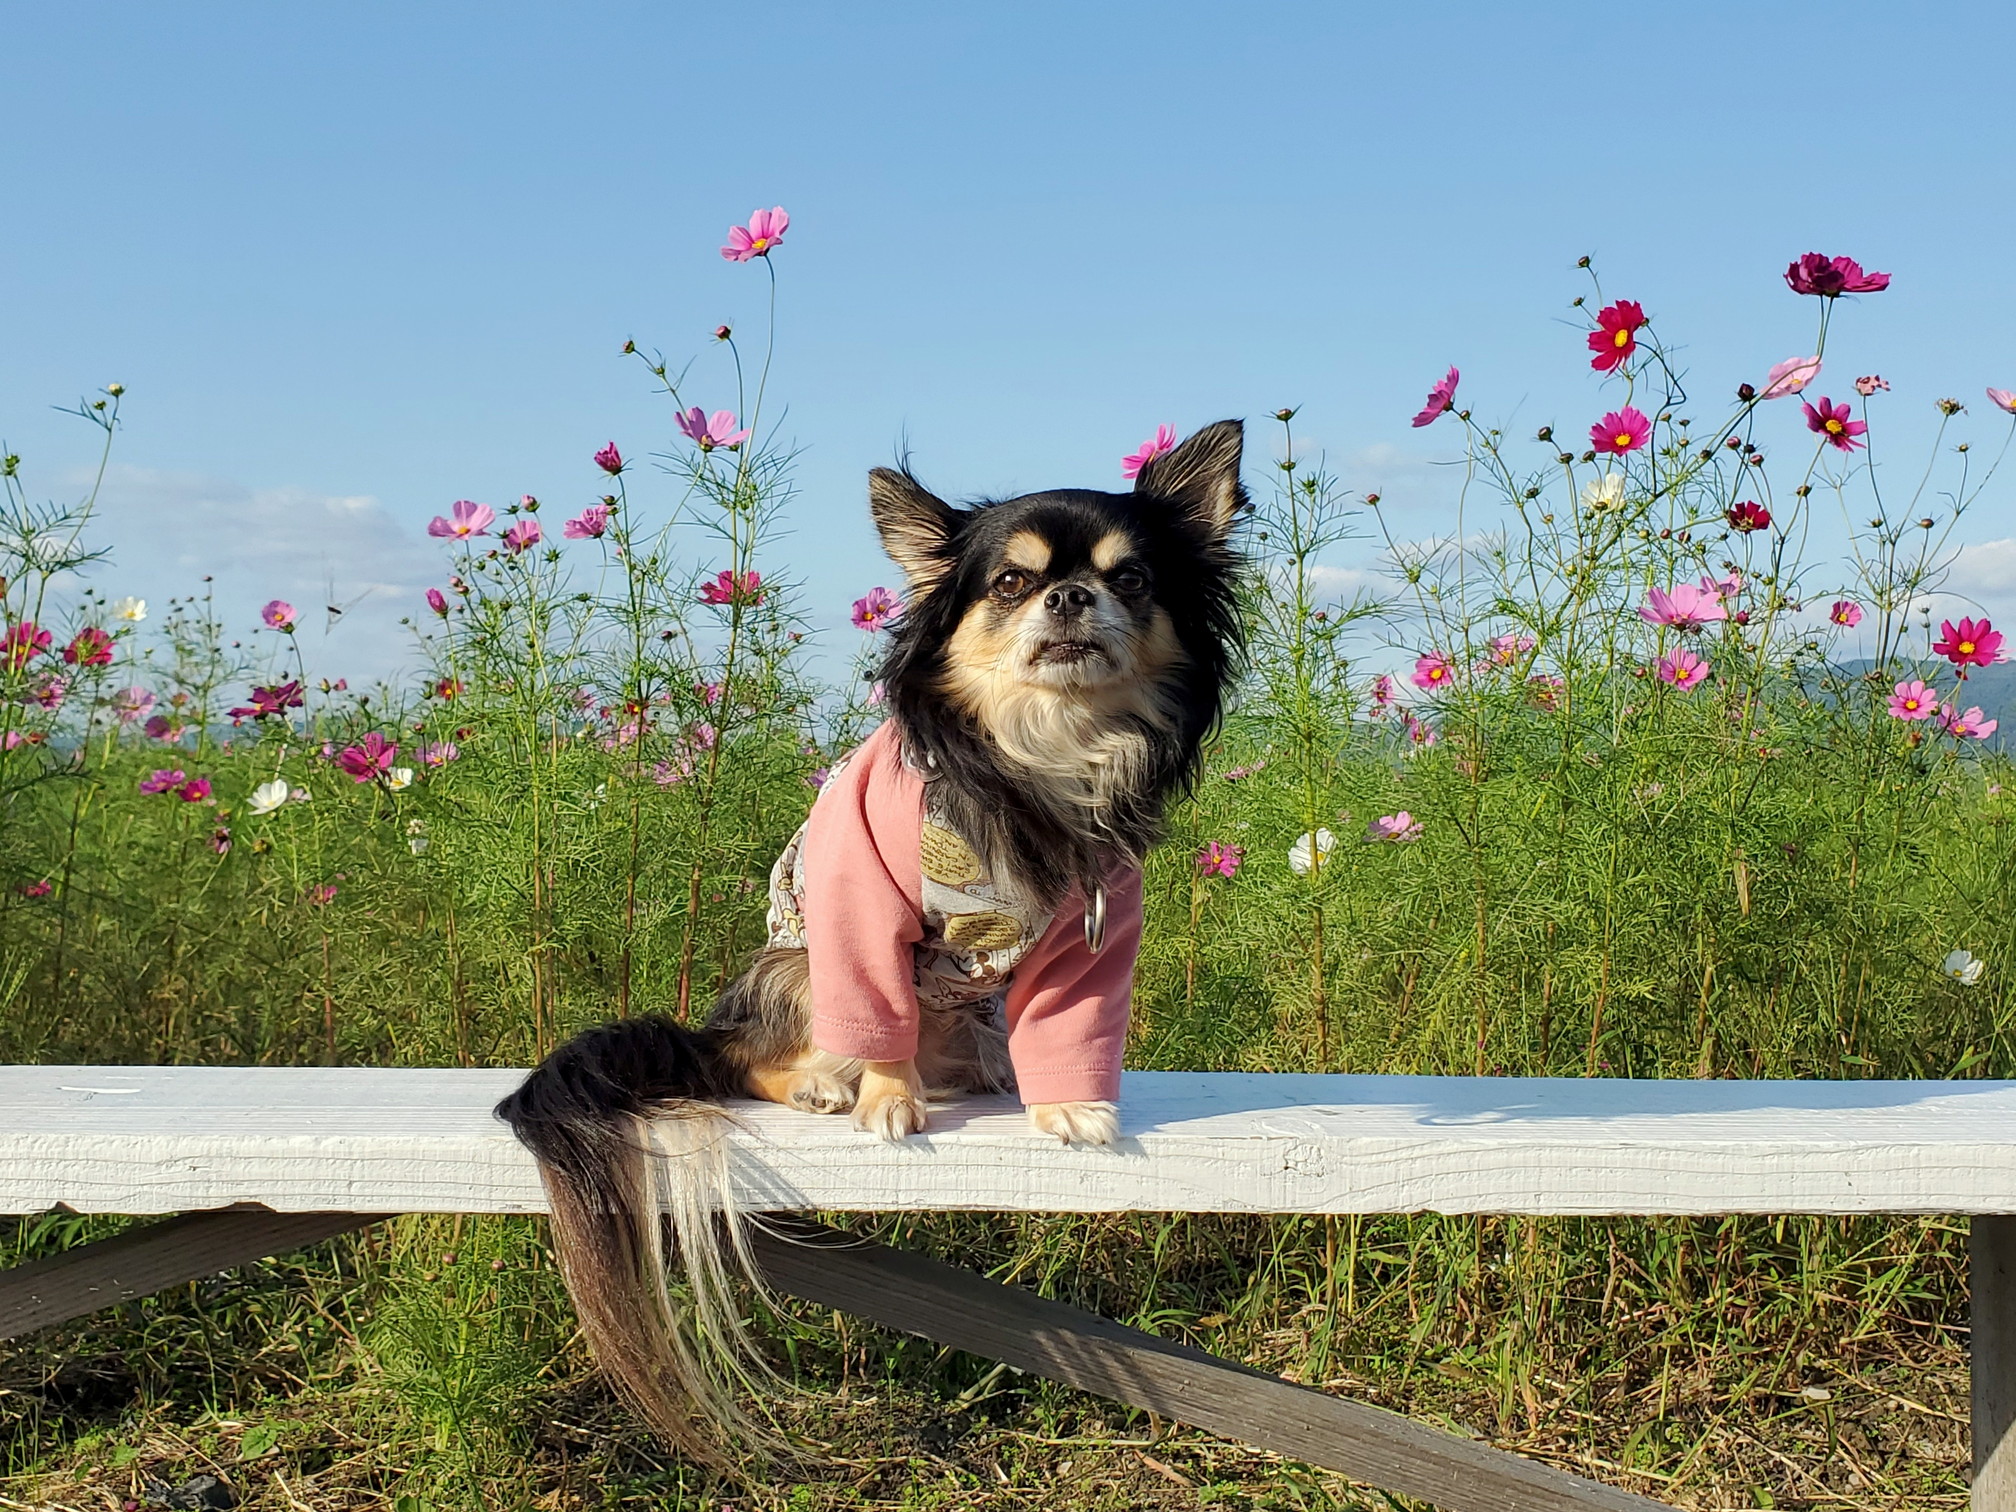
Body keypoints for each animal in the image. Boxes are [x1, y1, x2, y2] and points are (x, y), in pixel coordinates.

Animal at [495, 421, 1241, 1459]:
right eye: (1011, 583)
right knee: (752, 1057)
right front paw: (890, 1104)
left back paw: (982, 1068)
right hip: (795, 967)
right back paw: (822, 1084)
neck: (1042, 748)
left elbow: (1069, 1028)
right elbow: (879, 1009)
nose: (1068, 595)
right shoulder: (860, 902)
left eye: (1130, 579)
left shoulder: (1096, 928)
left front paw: (1070, 1107)